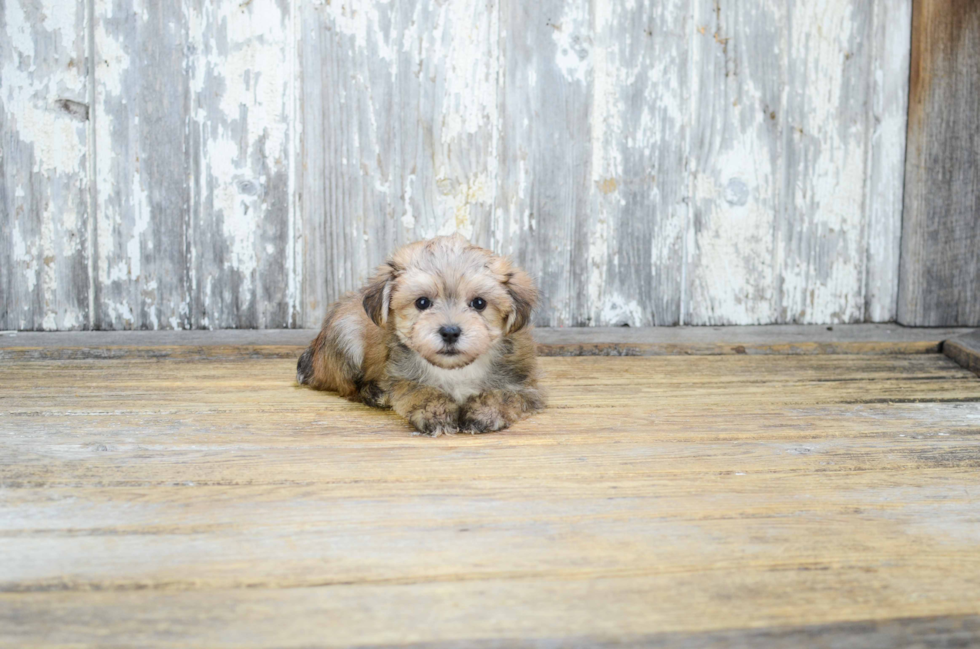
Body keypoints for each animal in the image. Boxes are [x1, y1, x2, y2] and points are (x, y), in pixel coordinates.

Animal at [294, 233, 548, 436]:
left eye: (479, 303)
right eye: (422, 302)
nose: (450, 332)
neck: (456, 370)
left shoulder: (524, 387)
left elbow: (504, 395)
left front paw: (483, 412)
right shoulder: (400, 377)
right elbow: (419, 391)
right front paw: (436, 412)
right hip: (346, 334)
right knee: (349, 387)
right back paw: (375, 393)